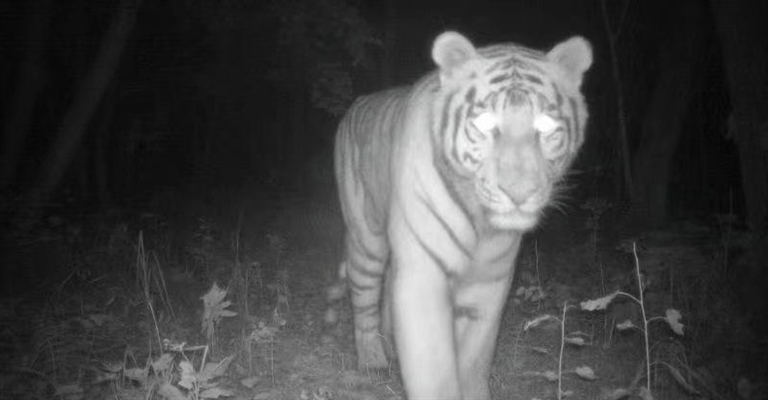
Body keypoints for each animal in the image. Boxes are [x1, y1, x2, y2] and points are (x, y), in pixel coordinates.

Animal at [332, 32, 592, 400]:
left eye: (546, 125)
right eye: (484, 124)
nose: (519, 192)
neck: (482, 226)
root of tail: (359, 100)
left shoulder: (490, 284)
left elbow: (473, 360)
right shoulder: (423, 276)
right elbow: (435, 371)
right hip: (366, 236)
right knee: (364, 293)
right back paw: (372, 359)